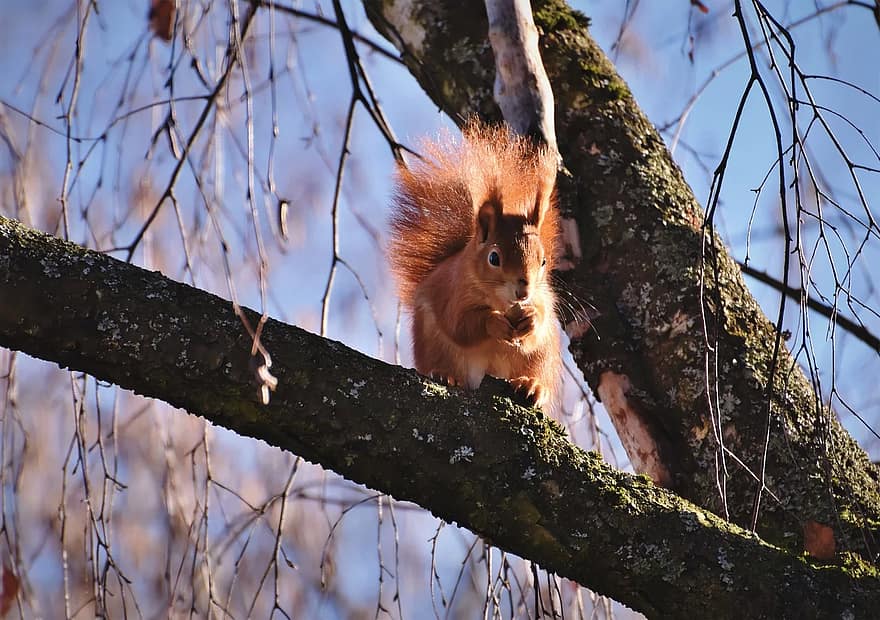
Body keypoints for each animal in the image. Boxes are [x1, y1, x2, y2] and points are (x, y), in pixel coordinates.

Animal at [386, 122, 564, 412]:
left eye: (544, 261)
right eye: (494, 258)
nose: (523, 290)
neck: (503, 302)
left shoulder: (544, 298)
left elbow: (539, 321)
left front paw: (531, 318)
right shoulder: (453, 292)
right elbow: (462, 325)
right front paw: (495, 322)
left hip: (544, 356)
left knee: (537, 370)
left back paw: (532, 385)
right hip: (433, 343)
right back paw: (445, 374)